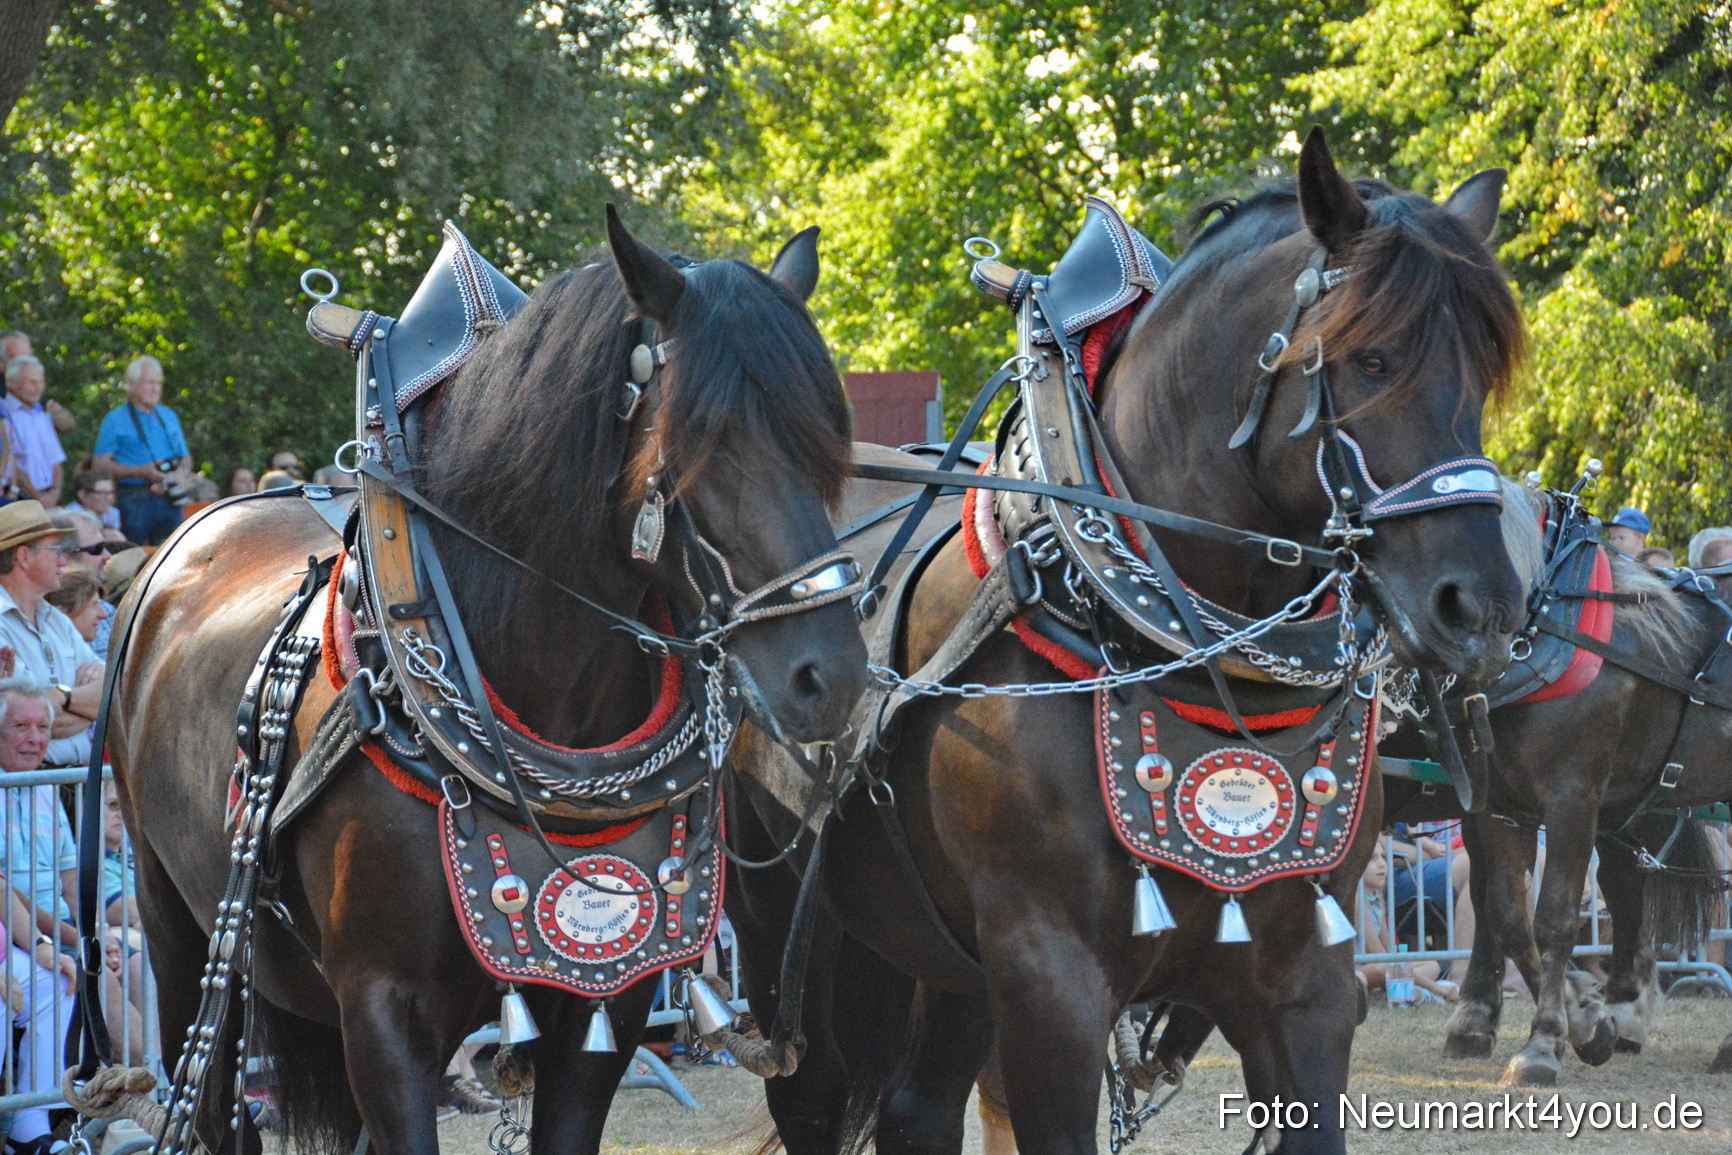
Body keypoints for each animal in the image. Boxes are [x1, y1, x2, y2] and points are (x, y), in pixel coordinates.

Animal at [103, 211, 868, 1155]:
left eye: (824, 441)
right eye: (703, 441)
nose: (828, 674)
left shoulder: (604, 1006)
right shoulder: (381, 1015)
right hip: (176, 923)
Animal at [728, 129, 1527, 1155]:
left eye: (1482, 372)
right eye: (1373, 358)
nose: (1483, 608)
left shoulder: (1304, 980)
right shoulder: (1050, 985)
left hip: (945, 952)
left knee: (916, 1106)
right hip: (787, 920)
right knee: (815, 1096)